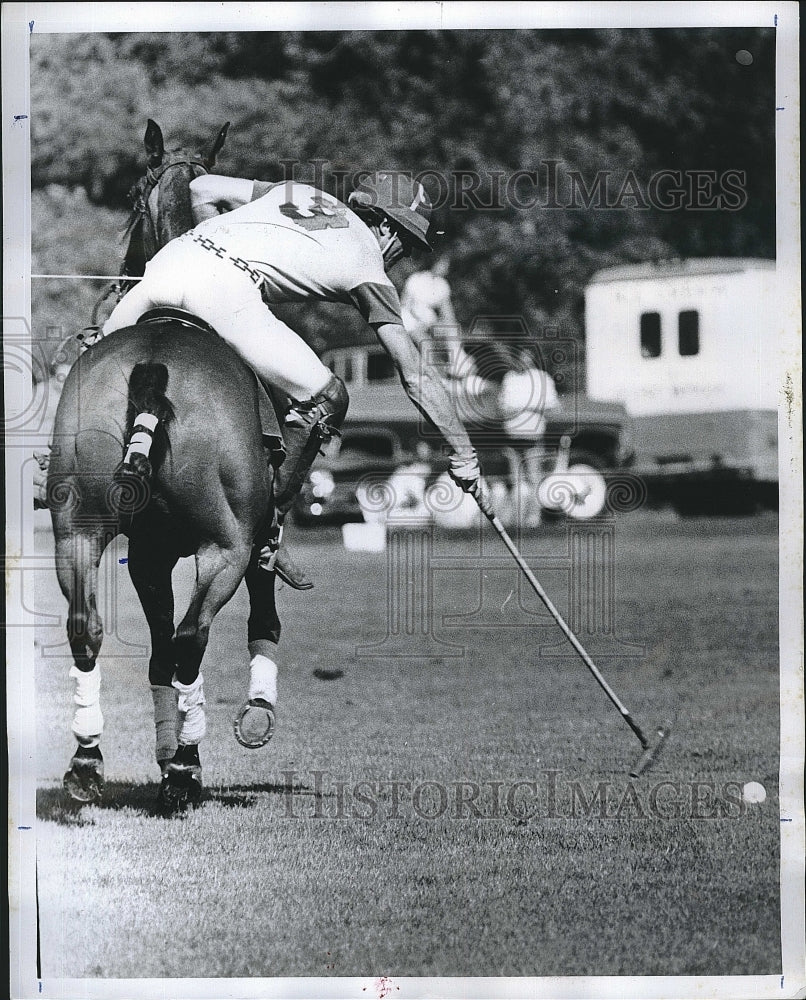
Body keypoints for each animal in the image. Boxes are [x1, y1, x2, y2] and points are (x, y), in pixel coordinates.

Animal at [48, 123, 280, 812]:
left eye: (127, 199)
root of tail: (154, 370)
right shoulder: (231, 540)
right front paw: (177, 756)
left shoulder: (147, 553)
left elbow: (149, 653)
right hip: (224, 545)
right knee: (190, 640)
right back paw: (183, 769)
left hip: (76, 528)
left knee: (87, 629)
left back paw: (87, 763)